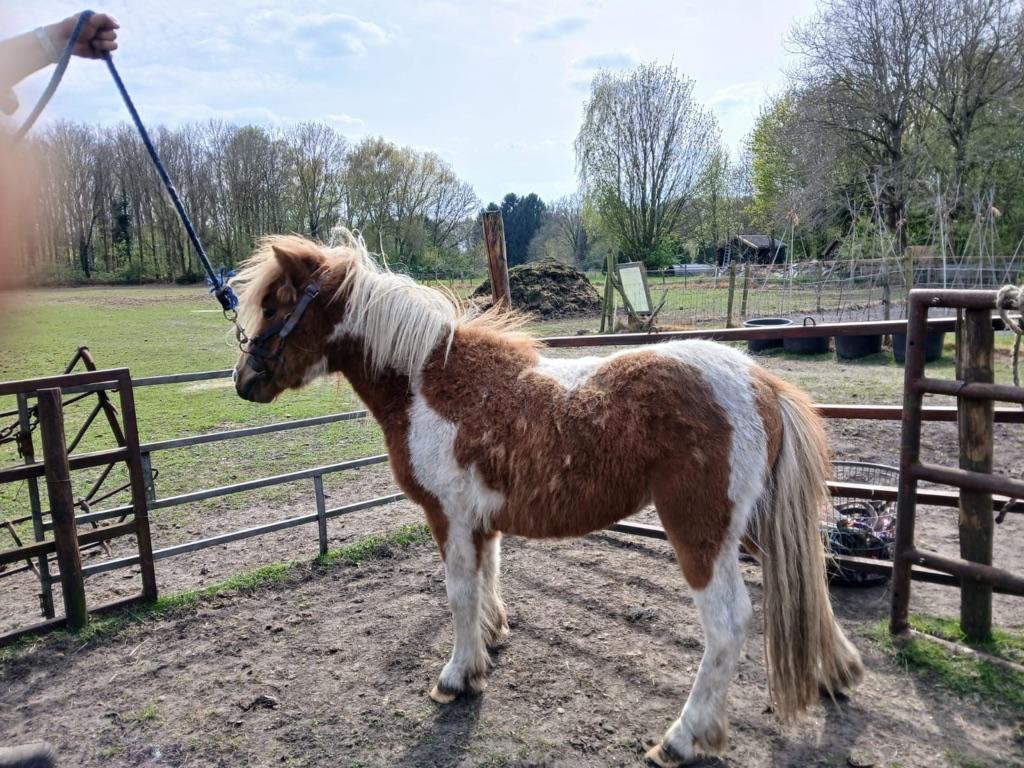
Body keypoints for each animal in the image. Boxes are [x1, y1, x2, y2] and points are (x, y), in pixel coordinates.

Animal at [230, 232, 863, 766]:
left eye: (276, 305)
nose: (244, 379)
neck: (430, 384)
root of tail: (762, 382)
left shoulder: (448, 515)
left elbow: (458, 593)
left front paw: (457, 676)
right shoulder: (480, 520)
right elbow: (488, 577)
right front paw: (489, 642)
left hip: (700, 533)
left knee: (730, 624)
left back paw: (684, 738)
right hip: (756, 524)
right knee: (807, 578)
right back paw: (838, 671)